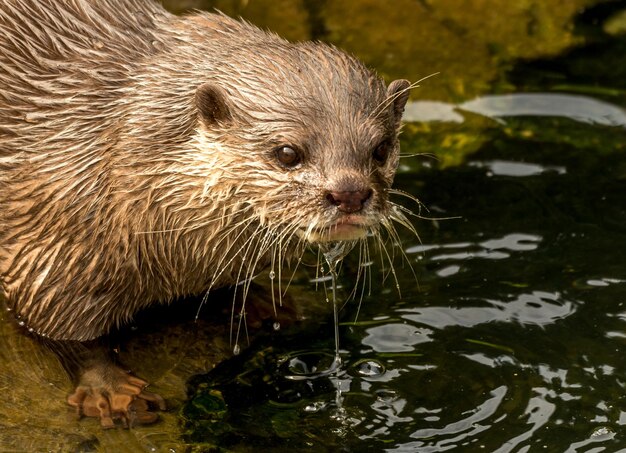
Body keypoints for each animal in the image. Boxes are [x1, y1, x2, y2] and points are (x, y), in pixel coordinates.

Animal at [1, 0, 414, 426]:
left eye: (381, 149)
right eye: (287, 152)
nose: (350, 193)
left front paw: (256, 303)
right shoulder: (55, 247)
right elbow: (63, 330)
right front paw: (110, 389)